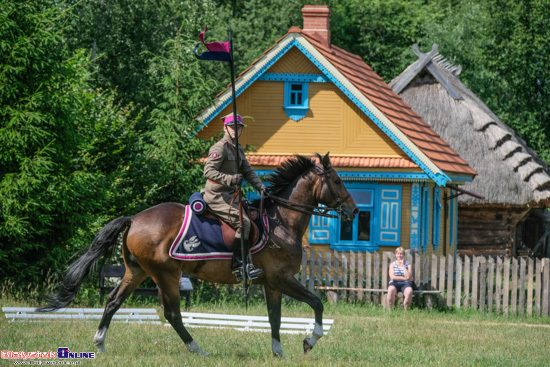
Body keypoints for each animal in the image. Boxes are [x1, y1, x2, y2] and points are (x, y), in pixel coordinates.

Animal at [37, 152, 358, 360]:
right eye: (338, 180)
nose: (354, 211)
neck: (282, 222)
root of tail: (134, 218)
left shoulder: (271, 283)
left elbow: (275, 318)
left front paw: (279, 353)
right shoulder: (281, 278)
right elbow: (316, 303)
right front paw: (309, 341)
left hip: (136, 272)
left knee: (113, 301)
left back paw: (100, 344)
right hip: (166, 274)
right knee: (172, 314)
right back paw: (197, 349)